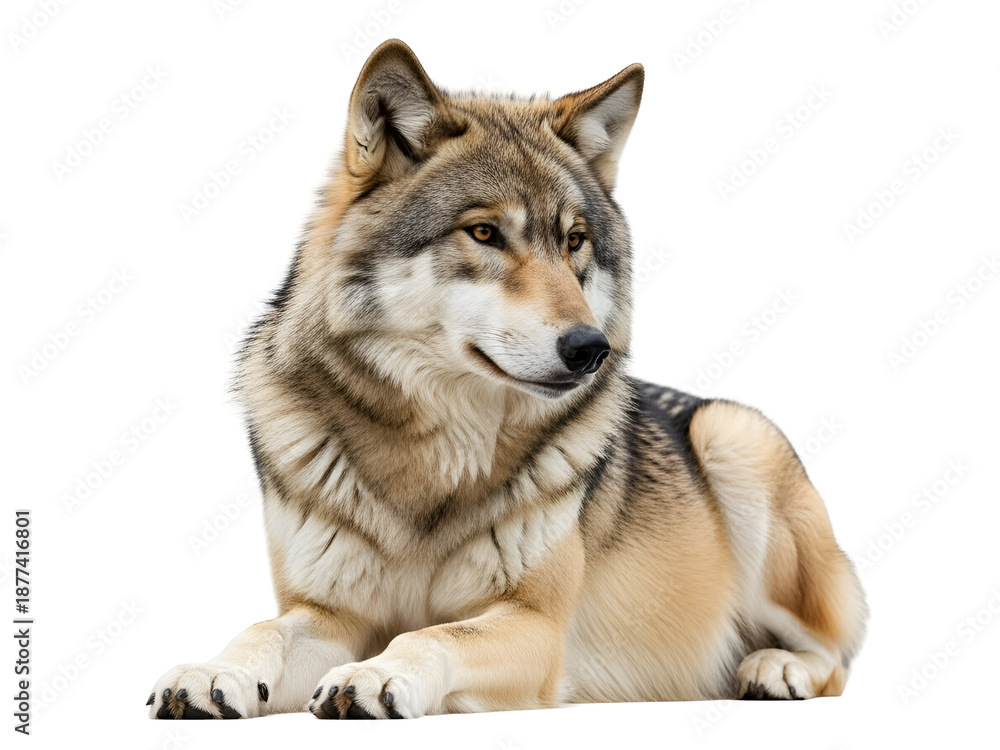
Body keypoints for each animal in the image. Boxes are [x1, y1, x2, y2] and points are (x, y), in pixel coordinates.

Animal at [148, 39, 866, 720]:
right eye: (485, 233)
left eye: (574, 240)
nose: (591, 348)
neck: (435, 456)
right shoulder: (328, 615)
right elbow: (262, 629)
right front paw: (210, 673)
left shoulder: (535, 625)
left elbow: (429, 635)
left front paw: (374, 676)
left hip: (733, 438)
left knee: (836, 659)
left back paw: (773, 670)